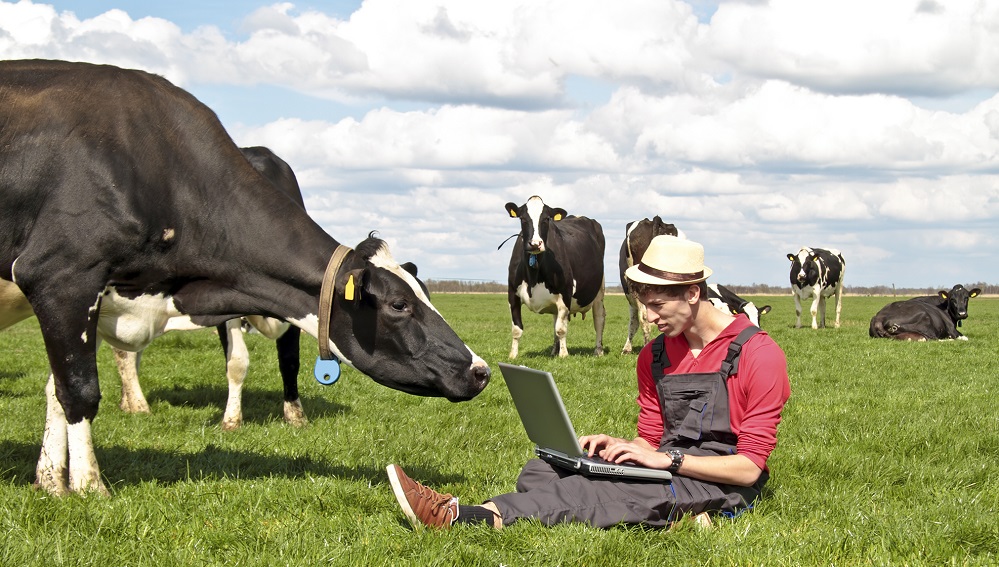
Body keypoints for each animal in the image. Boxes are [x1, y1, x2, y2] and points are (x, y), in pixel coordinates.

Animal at [0, 60, 492, 496]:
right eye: (398, 305)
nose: (481, 370)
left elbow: (55, 387)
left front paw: (50, 481)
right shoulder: (62, 276)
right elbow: (78, 390)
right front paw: (87, 485)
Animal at [504, 197, 604, 358]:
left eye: (546, 219)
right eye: (523, 219)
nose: (535, 243)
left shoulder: (565, 293)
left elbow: (561, 329)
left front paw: (564, 355)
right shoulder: (512, 294)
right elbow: (516, 329)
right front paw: (513, 355)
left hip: (599, 290)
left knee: (599, 318)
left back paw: (598, 350)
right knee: (555, 319)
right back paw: (554, 350)